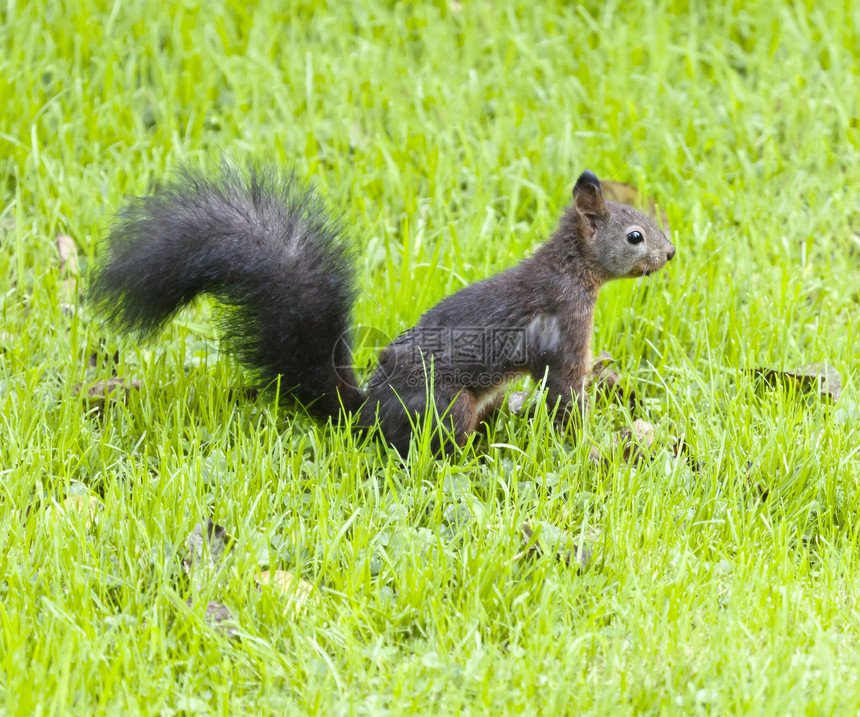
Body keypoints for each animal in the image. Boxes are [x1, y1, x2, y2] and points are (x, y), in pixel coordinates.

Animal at [89, 164, 680, 454]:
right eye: (634, 236)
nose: (670, 253)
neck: (571, 269)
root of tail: (365, 414)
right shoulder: (564, 329)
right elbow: (564, 393)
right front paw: (585, 443)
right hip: (447, 405)